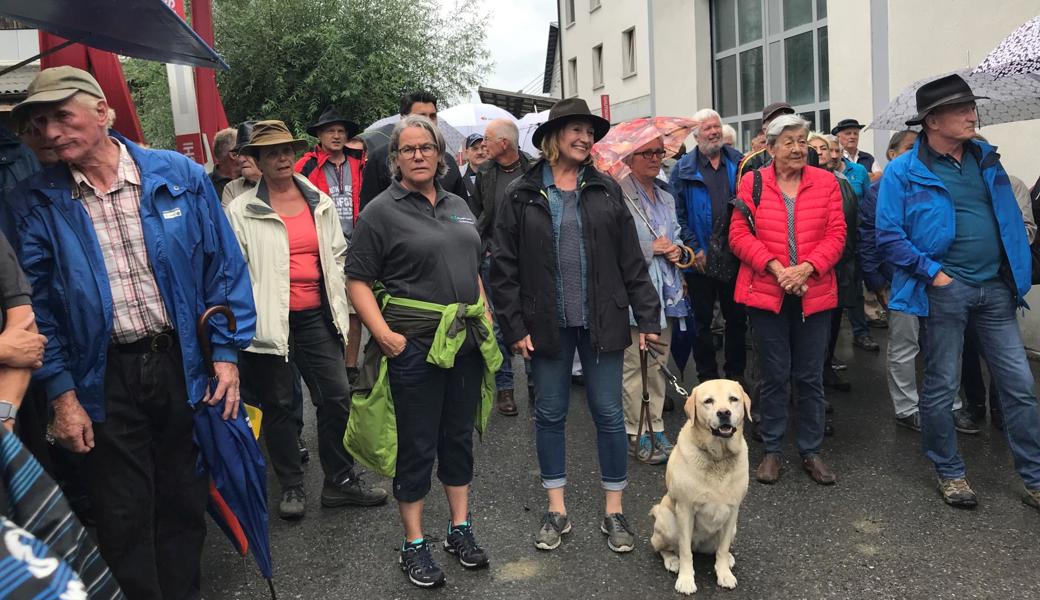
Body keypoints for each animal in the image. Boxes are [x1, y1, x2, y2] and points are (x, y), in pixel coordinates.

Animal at [648, 378, 748, 594]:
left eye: (733, 399)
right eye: (708, 401)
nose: (724, 413)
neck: (718, 457)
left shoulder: (733, 510)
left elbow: (722, 548)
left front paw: (724, 573)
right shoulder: (685, 510)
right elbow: (686, 552)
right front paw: (686, 580)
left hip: (733, 529)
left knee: (717, 549)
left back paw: (728, 559)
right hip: (668, 522)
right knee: (663, 547)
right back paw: (672, 561)